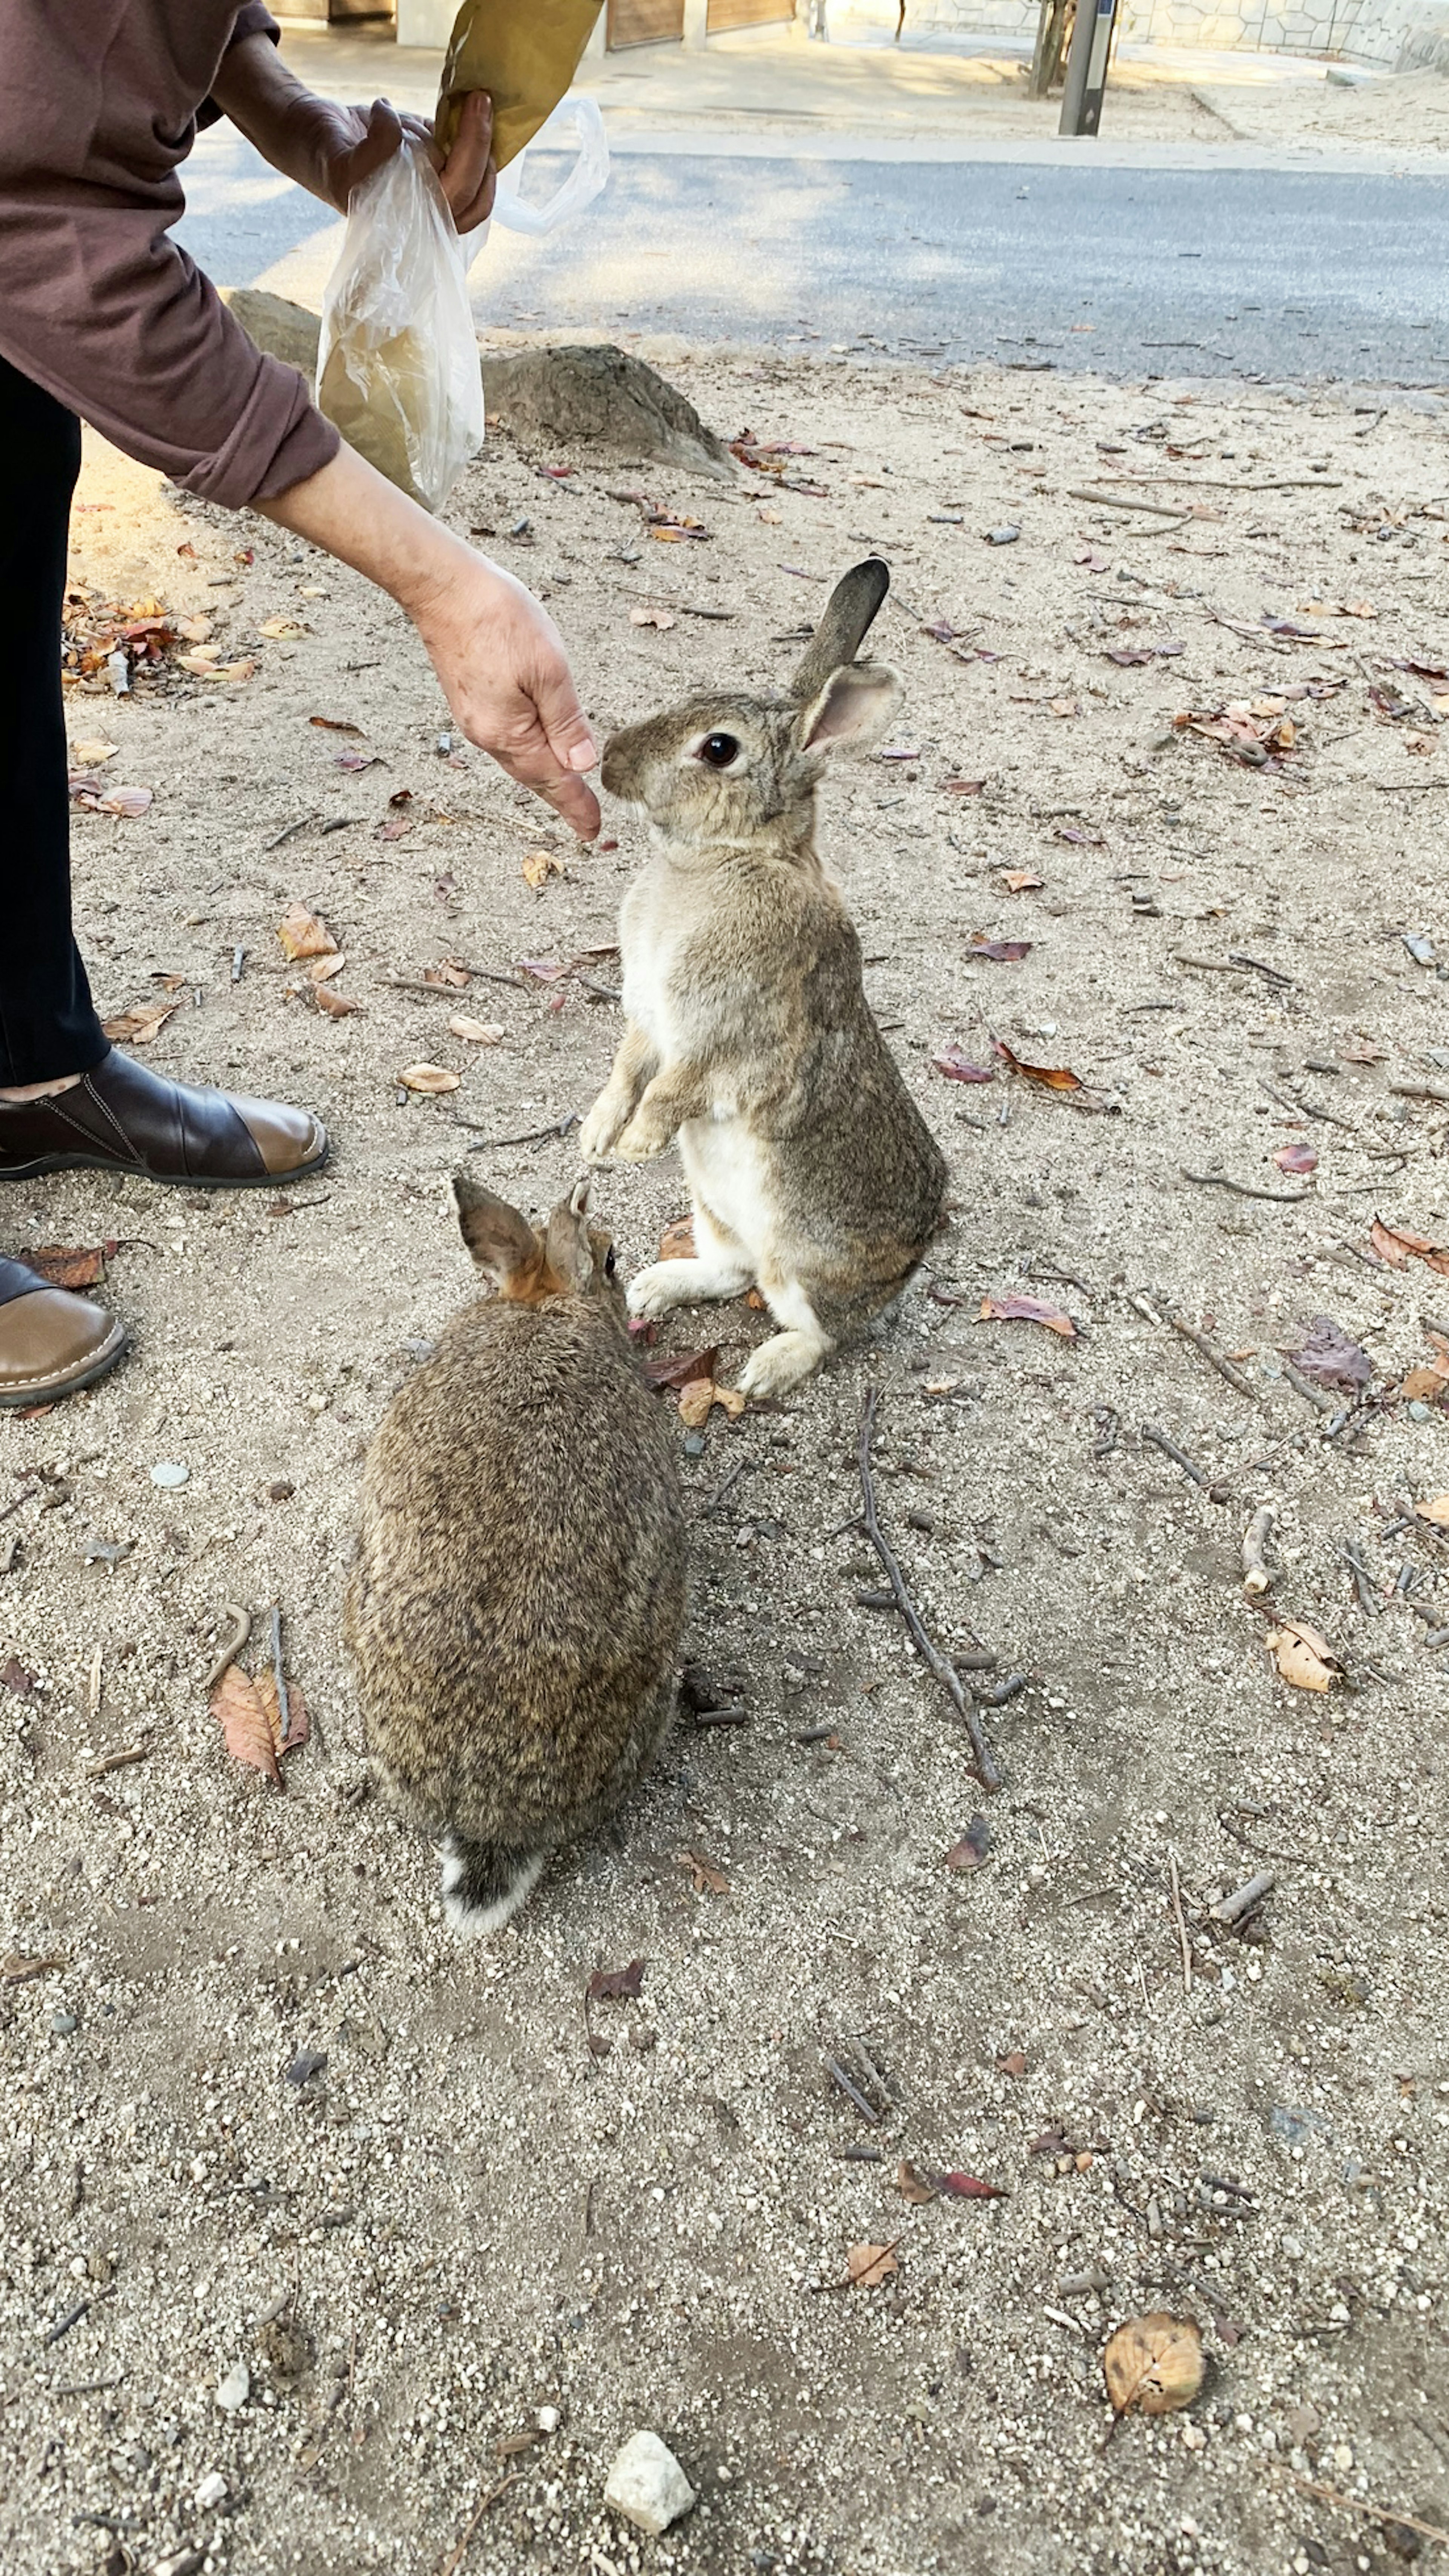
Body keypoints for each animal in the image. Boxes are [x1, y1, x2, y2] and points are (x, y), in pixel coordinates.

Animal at [581, 556, 952, 1401]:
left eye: (719, 748)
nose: (610, 760)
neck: (729, 856)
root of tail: (906, 1271)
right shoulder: (648, 1021)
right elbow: (626, 1068)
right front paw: (597, 1132)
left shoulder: (723, 1039)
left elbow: (674, 1088)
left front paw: (633, 1145)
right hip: (715, 1211)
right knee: (730, 1271)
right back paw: (657, 1287)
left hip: (804, 1261)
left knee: (817, 1329)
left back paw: (763, 1372)